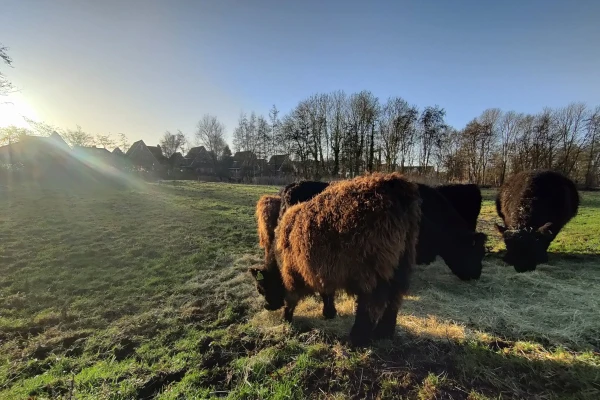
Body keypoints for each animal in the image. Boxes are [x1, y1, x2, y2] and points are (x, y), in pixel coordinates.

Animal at [248, 173, 422, 346]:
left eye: (261, 288)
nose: (267, 306)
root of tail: (394, 184)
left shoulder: (293, 273)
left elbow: (292, 299)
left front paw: (286, 318)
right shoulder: (322, 270)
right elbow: (327, 292)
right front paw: (329, 312)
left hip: (372, 268)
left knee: (370, 303)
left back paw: (357, 339)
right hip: (402, 261)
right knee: (395, 297)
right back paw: (384, 333)